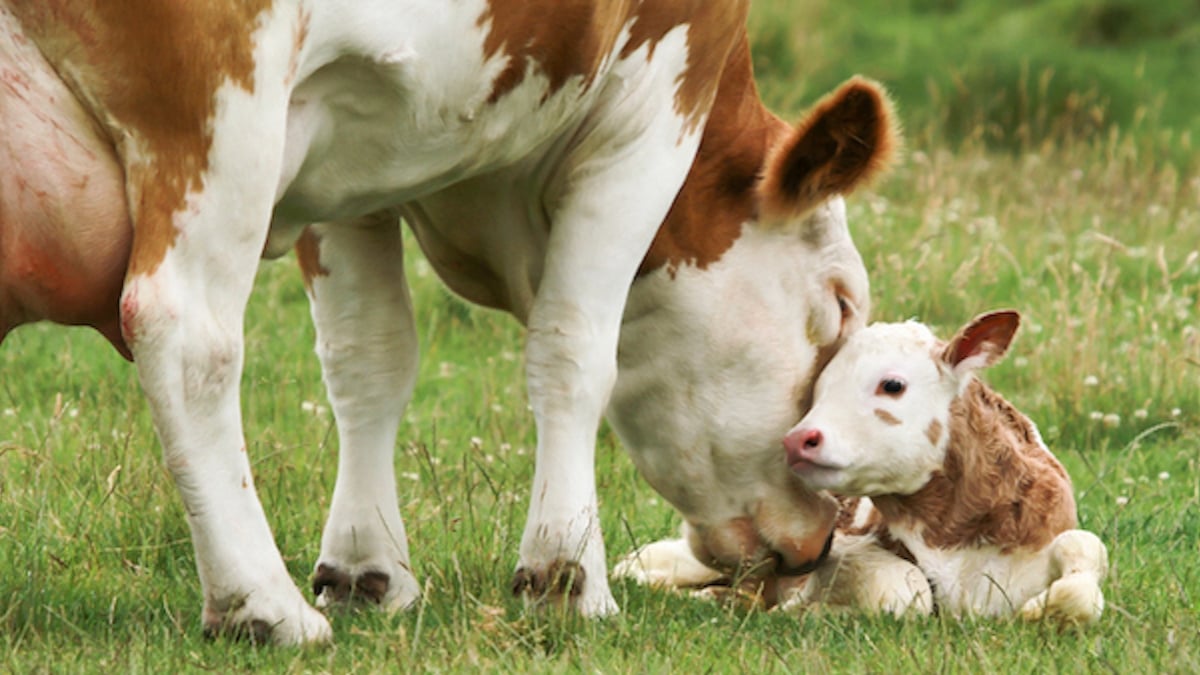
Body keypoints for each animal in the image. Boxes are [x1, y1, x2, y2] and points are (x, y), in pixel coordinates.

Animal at [0, 0, 897, 638]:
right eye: (840, 304)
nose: (825, 537)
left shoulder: (345, 164)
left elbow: (369, 358)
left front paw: (367, 567)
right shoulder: (657, 99)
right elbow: (576, 350)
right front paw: (568, 575)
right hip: (222, 105)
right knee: (189, 337)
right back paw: (264, 605)